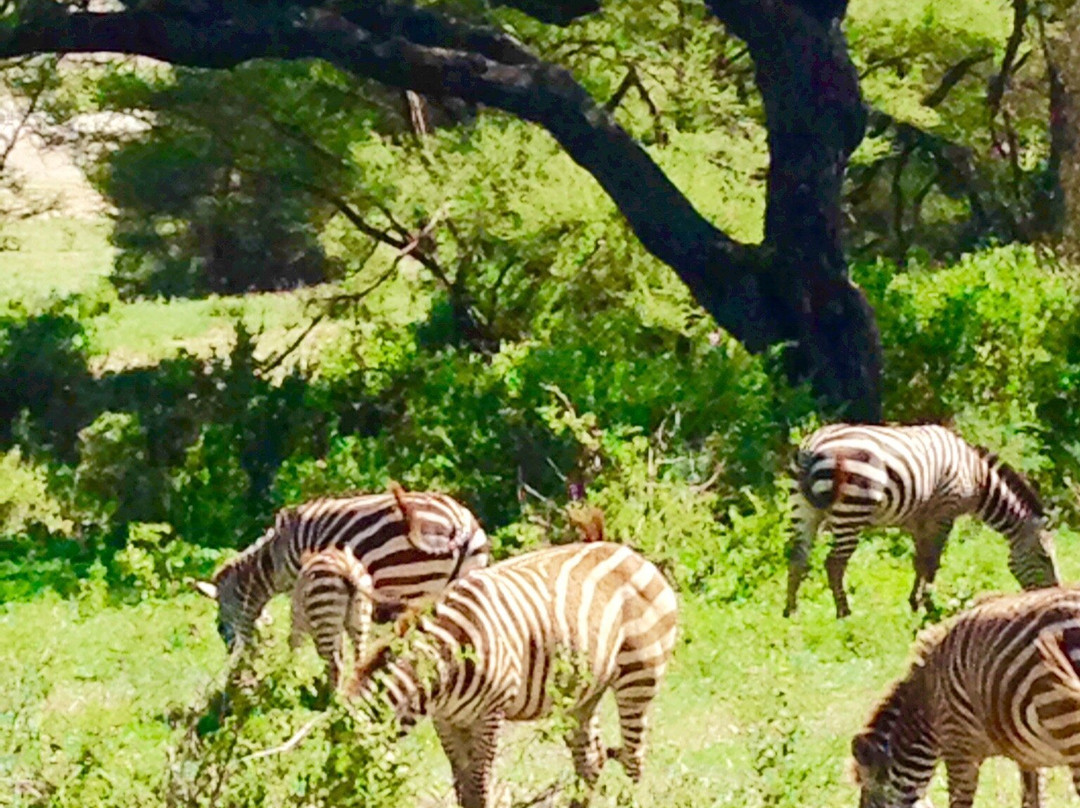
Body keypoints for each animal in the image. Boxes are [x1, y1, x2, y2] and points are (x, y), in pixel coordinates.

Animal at [194, 479, 490, 656]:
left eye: (219, 627)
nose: (239, 669)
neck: (274, 559)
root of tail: (460, 523)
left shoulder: (308, 577)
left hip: (415, 585)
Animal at [287, 546, 375, 691]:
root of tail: (347, 568)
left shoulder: (301, 623)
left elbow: (296, 647)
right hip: (359, 617)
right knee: (360, 657)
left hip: (325, 611)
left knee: (335, 663)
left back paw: (334, 695)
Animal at [349, 540, 678, 808]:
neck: (446, 661)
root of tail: (635, 556)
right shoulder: (446, 720)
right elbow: (462, 787)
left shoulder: (490, 714)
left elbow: (479, 787)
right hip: (582, 693)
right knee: (591, 759)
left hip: (638, 676)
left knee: (634, 759)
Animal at [781, 423, 1058, 617]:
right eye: (1044, 557)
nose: (1053, 596)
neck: (977, 477)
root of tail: (813, 446)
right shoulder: (943, 514)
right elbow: (933, 562)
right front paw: (930, 606)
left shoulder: (918, 520)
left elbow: (920, 562)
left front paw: (915, 603)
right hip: (852, 508)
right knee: (834, 564)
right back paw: (844, 613)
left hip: (802, 508)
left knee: (797, 557)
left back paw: (791, 612)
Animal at [851, 587, 1080, 808]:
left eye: (867, 804)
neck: (926, 707)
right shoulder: (1026, 753)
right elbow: (1033, 797)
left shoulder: (957, 745)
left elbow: (959, 801)